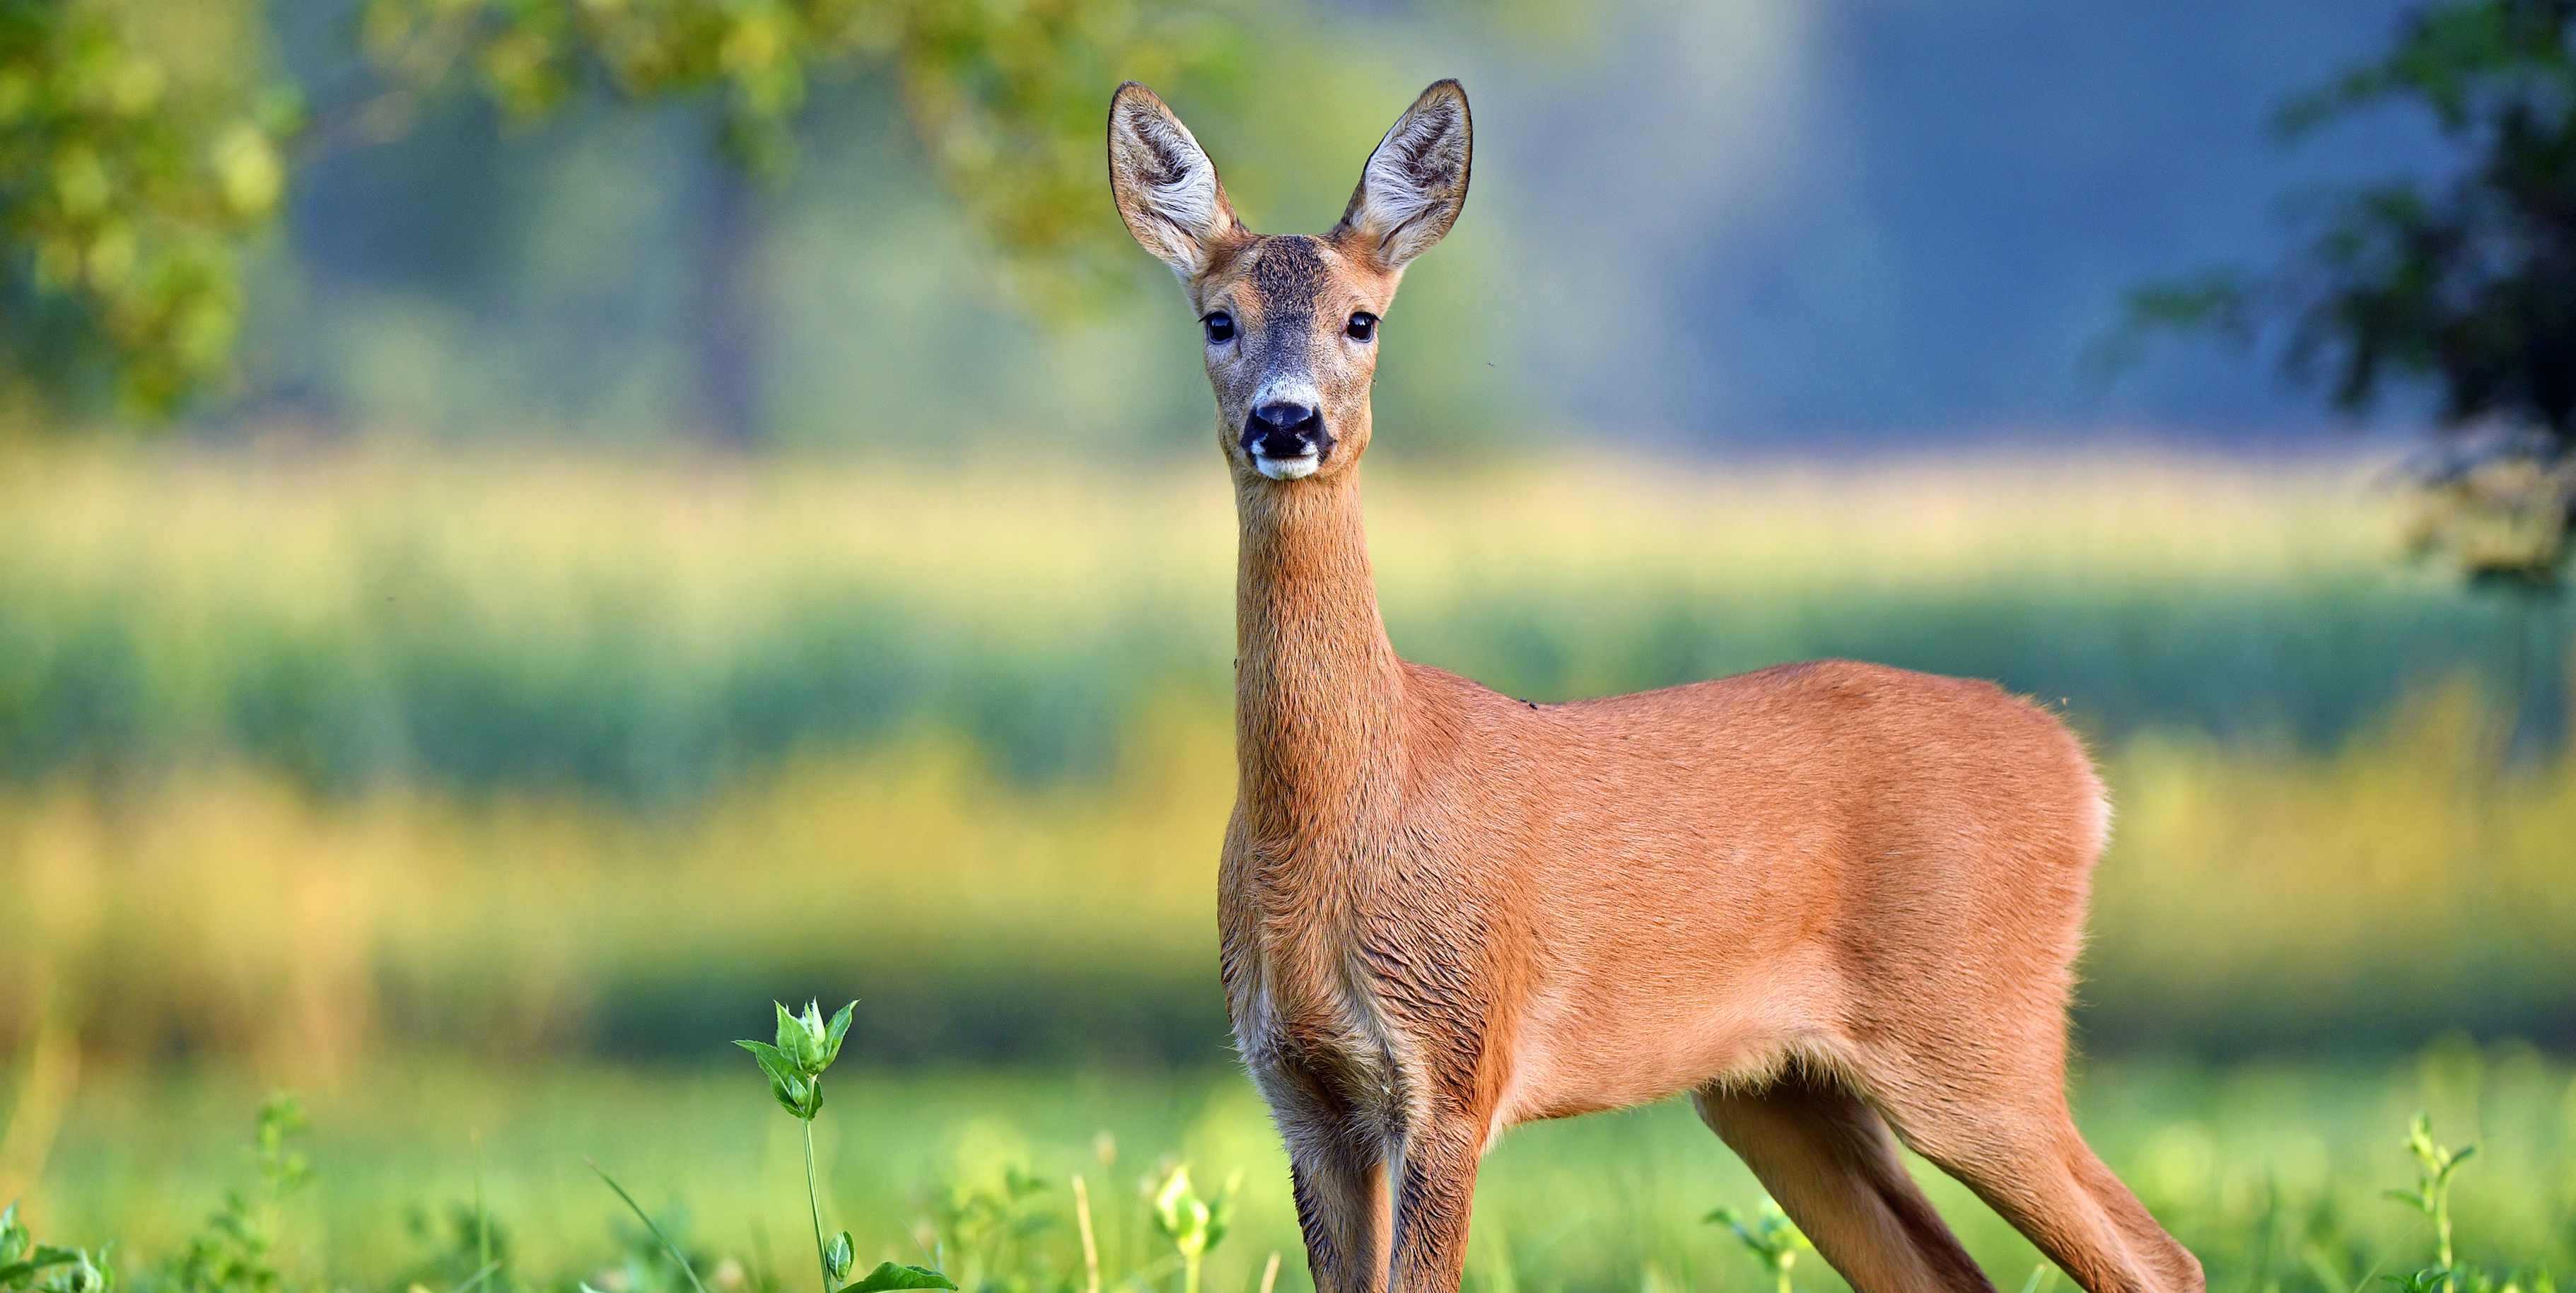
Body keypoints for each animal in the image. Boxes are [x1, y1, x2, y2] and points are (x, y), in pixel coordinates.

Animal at [1107, 78, 2215, 1293]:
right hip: (1778, 1089)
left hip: (1974, 1033)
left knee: (2157, 1260)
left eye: (1363, 320)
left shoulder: (1454, 1063)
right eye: (1217, 320)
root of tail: (2079, 774)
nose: (1285, 421)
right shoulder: (1300, 1093)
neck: (1339, 818)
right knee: (1946, 1272)